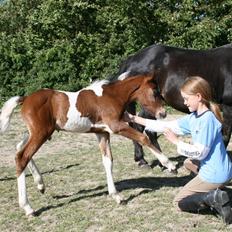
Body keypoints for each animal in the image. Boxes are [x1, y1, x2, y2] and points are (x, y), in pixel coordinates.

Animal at [0, 74, 176, 216]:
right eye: (155, 92)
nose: (163, 113)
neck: (112, 96)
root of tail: (25, 98)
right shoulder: (116, 127)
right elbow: (143, 138)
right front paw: (170, 165)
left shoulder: (103, 133)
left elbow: (108, 161)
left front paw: (117, 196)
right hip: (40, 133)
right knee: (22, 156)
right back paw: (28, 207)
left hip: (35, 133)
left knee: (18, 148)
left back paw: (40, 185)